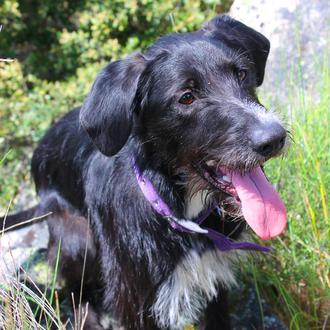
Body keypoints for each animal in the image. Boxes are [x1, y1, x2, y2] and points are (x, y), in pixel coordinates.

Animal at [0, 16, 288, 330]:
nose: (274, 138)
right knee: (73, 291)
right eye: (187, 97)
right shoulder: (135, 298)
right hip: (78, 238)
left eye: (242, 74)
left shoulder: (215, 274)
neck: (177, 208)